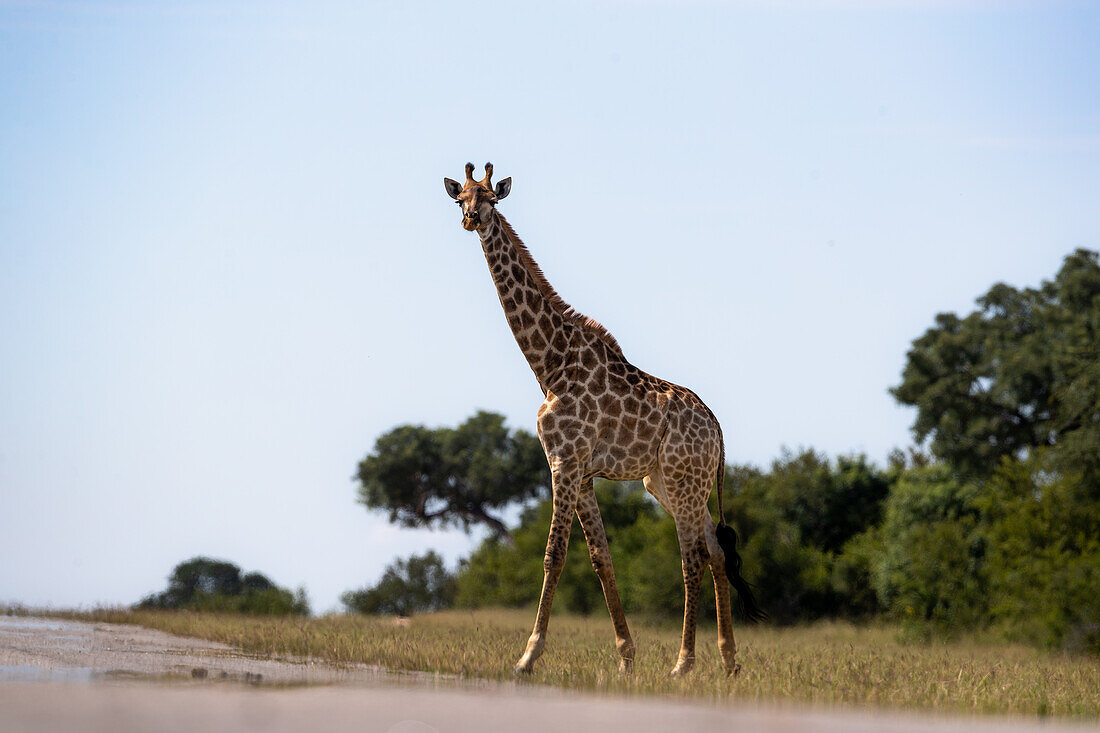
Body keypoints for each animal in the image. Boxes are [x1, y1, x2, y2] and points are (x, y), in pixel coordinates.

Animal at [440, 159, 765, 673]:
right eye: (461, 198)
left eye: (491, 198)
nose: (472, 220)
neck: (550, 366)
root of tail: (717, 431)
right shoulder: (583, 471)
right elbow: (600, 557)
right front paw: (626, 658)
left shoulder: (565, 461)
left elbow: (554, 554)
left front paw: (528, 657)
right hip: (666, 483)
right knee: (714, 551)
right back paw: (728, 661)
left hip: (683, 479)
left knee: (692, 557)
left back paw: (684, 663)